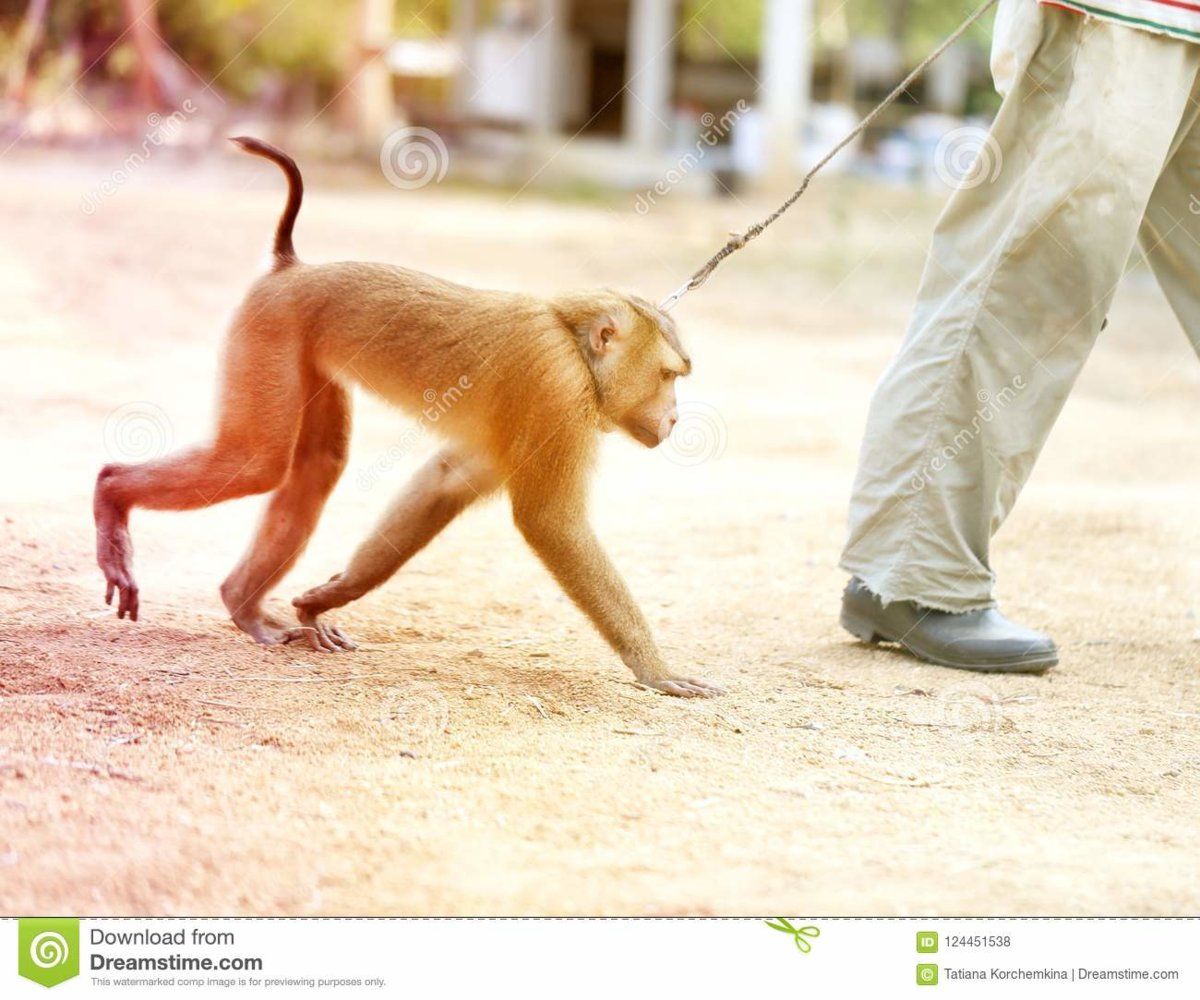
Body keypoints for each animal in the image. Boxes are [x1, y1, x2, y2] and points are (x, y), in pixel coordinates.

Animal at [93, 137, 724, 698]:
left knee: (316, 463)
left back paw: (242, 604)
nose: (673, 418)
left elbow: (445, 482)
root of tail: (292, 271)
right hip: (270, 328)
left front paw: (330, 595)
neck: (572, 342)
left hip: (305, 347)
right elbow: (550, 523)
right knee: (258, 461)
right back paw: (113, 494)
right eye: (670, 376)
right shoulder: (554, 390)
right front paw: (655, 668)